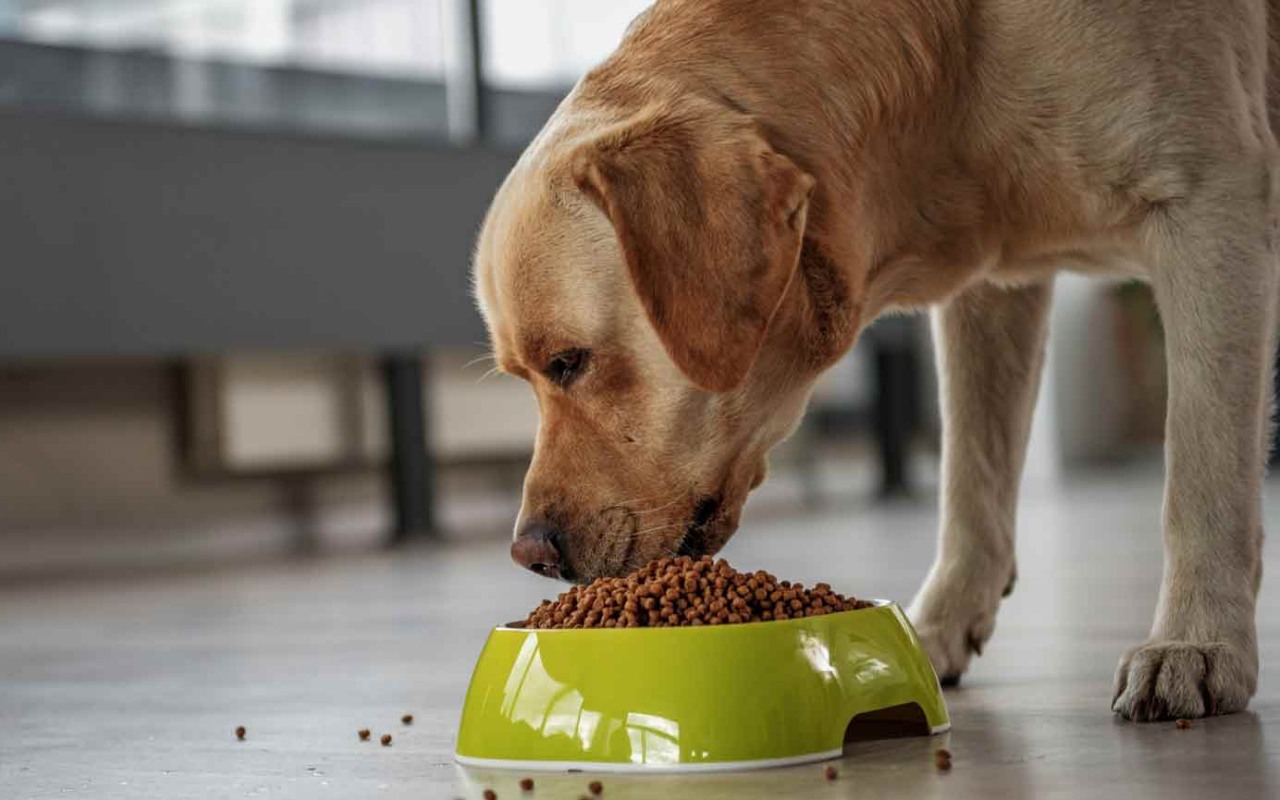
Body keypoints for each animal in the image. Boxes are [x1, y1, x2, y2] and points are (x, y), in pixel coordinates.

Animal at [473, 0, 1280, 721]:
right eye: (523, 377)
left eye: (569, 361)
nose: (529, 553)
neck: (950, 66)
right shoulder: (994, 286)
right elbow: (971, 482)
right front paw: (936, 628)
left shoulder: (1211, 209)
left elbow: (1202, 473)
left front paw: (1197, 642)